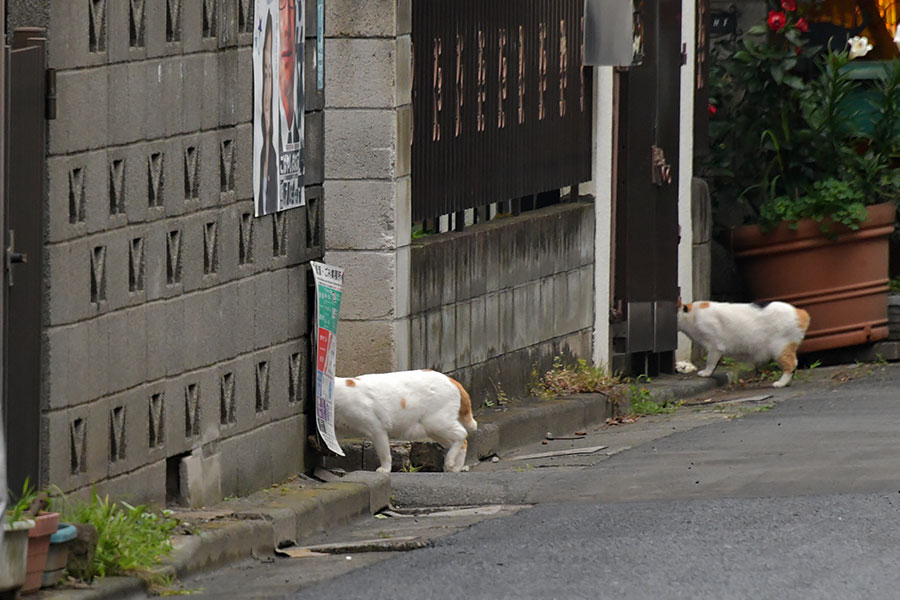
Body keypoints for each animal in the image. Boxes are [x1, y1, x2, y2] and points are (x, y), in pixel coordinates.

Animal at [332, 370, 478, 474]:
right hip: (435, 431)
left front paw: (385, 470)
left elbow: (384, 453)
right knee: (462, 442)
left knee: (462, 434)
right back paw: (455, 467)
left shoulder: (377, 429)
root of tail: (451, 379)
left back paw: (449, 462)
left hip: (437, 423)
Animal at [680, 300, 812, 390]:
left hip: (780, 348)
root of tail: (801, 312)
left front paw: (706, 373)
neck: (692, 314)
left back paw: (781, 383)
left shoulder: (714, 346)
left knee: (791, 364)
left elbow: (710, 362)